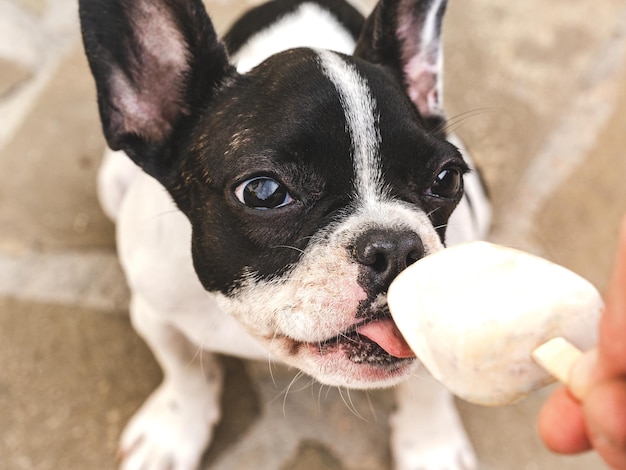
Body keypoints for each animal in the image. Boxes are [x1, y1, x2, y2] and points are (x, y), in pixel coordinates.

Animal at [78, 0, 490, 470]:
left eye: (447, 178)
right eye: (263, 192)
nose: (398, 248)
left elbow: (429, 389)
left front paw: (430, 447)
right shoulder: (156, 313)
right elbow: (183, 371)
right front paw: (174, 432)